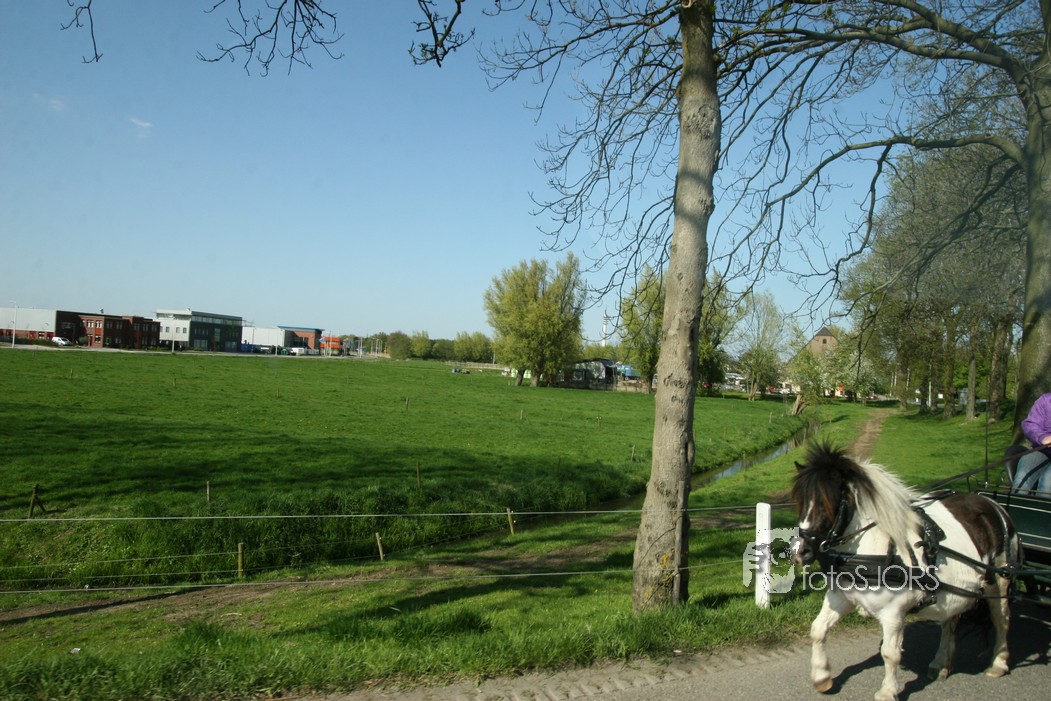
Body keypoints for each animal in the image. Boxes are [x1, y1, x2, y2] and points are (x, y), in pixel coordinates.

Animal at [790, 442, 1019, 701]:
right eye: (800, 502)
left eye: (825, 503)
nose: (798, 552)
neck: (872, 546)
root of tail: (994, 505)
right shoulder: (841, 597)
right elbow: (818, 630)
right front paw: (822, 677)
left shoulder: (893, 613)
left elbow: (890, 653)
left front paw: (887, 691)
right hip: (959, 589)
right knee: (950, 621)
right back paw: (941, 663)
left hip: (999, 581)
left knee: (1001, 620)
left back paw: (998, 663)